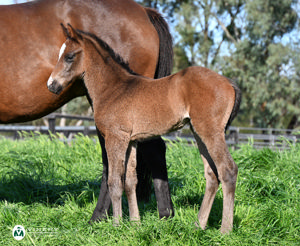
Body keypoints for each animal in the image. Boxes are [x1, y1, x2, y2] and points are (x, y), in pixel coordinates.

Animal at [48, 25, 241, 234]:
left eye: (69, 56)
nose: (51, 85)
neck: (114, 89)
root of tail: (229, 82)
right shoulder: (131, 140)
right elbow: (130, 181)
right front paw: (135, 224)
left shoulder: (115, 138)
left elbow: (114, 181)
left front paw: (117, 225)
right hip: (199, 134)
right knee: (212, 175)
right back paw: (199, 225)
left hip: (210, 132)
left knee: (228, 170)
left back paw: (225, 230)